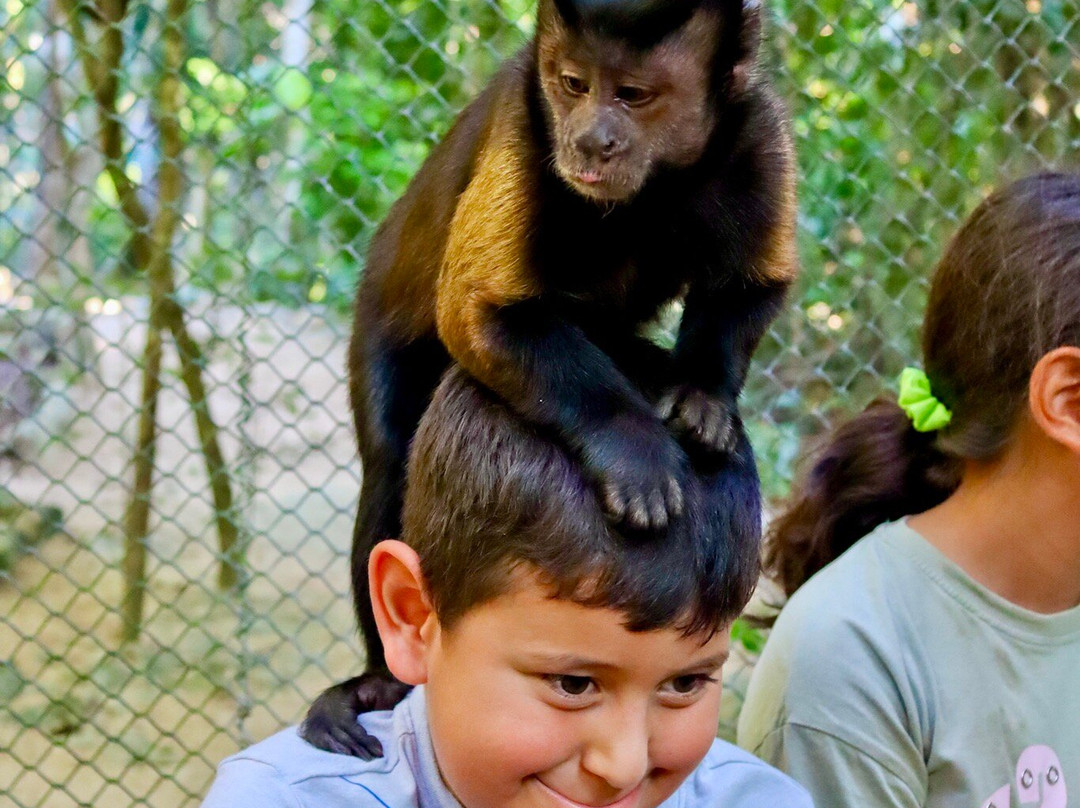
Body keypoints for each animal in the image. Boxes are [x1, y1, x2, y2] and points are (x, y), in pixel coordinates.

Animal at [300, 0, 797, 757]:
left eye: (632, 95)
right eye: (571, 84)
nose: (590, 140)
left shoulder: (756, 132)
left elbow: (754, 284)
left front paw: (704, 397)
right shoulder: (523, 125)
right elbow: (480, 314)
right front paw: (633, 448)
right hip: (378, 323)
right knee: (391, 460)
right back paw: (379, 678)